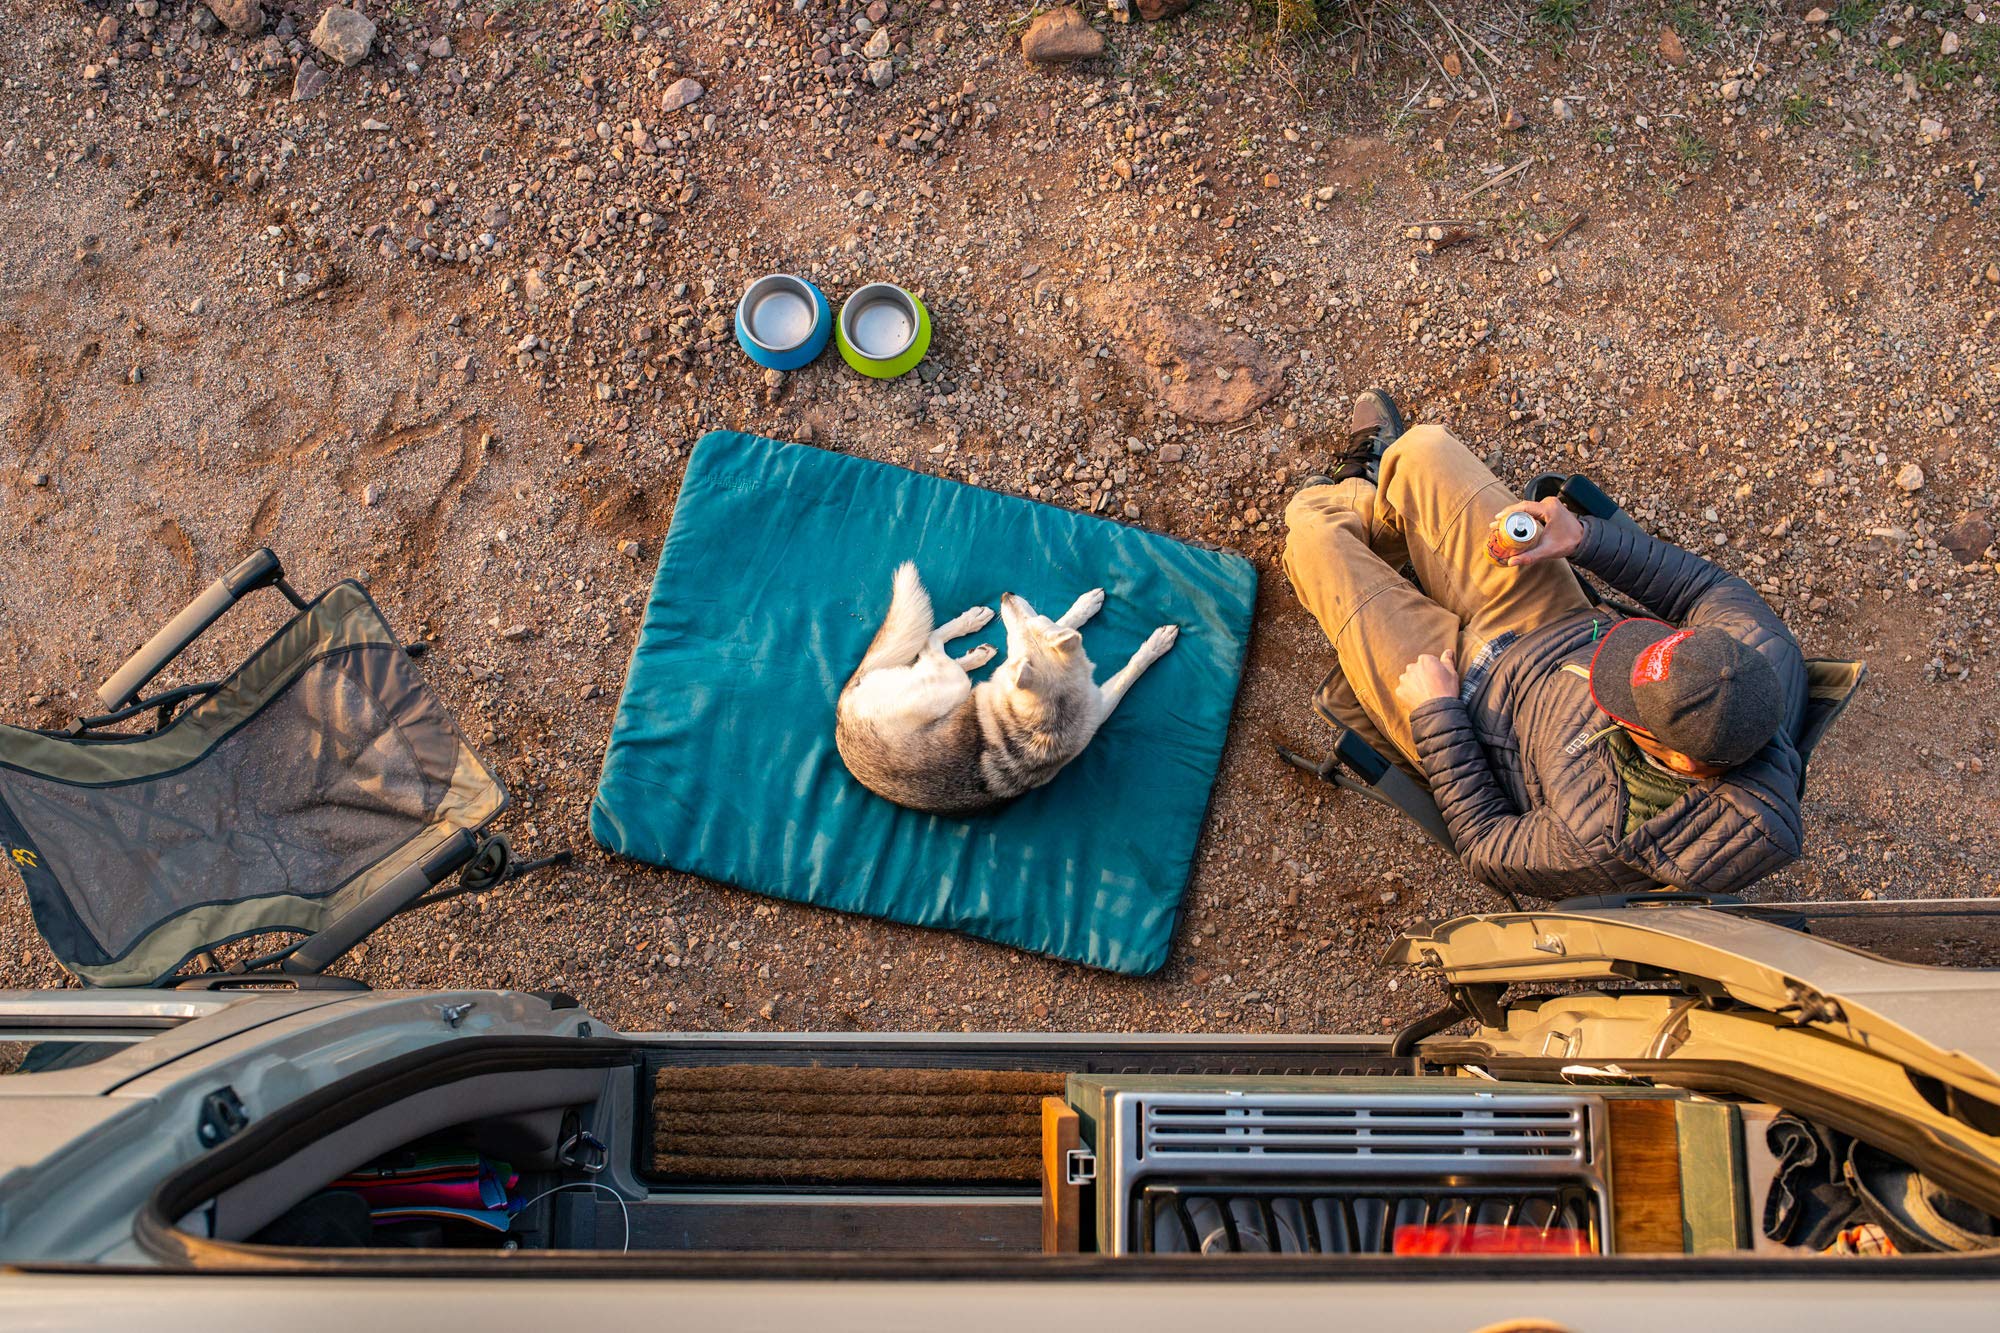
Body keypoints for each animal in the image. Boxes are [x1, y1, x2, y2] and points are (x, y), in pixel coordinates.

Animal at [836, 556, 1176, 816]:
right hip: (950, 684)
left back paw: (977, 651)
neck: (1054, 706)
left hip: (950, 684)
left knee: (934, 652)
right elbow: (1118, 661)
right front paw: (1149, 642)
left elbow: (1082, 638)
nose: (1006, 595)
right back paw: (970, 623)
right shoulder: (1097, 703)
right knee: (929, 644)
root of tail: (842, 714)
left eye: (1037, 618)